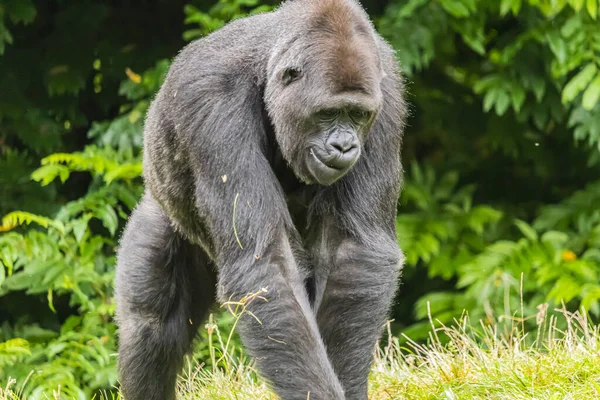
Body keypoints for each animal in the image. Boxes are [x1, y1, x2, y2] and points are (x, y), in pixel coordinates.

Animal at [114, 0, 406, 400]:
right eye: (328, 113)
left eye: (358, 115)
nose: (345, 145)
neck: (266, 66)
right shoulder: (211, 99)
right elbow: (265, 263)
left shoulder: (386, 95)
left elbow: (355, 252)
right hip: (163, 208)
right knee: (151, 324)